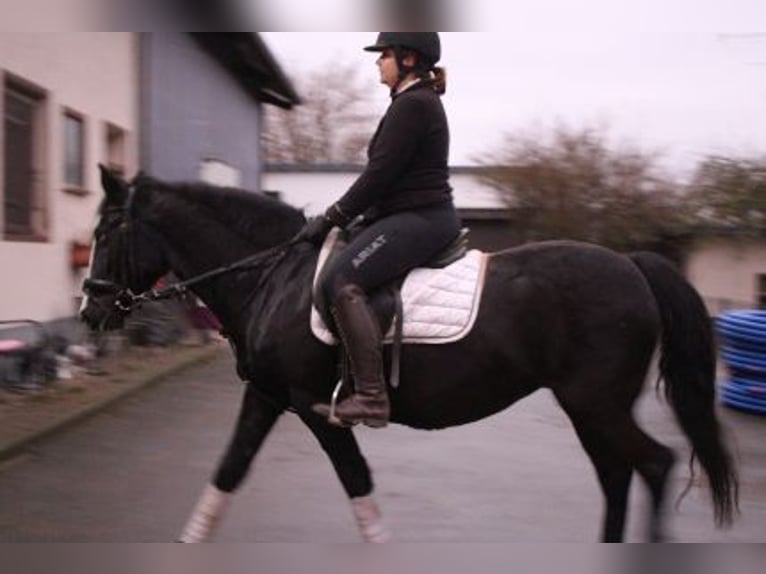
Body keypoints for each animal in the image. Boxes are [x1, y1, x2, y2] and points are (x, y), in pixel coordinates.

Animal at [82, 166, 736, 544]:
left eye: (107, 231)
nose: (90, 309)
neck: (273, 274)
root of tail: (632, 264)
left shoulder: (316, 407)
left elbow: (357, 480)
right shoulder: (266, 396)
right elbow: (229, 469)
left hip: (597, 404)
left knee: (654, 465)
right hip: (589, 409)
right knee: (618, 474)